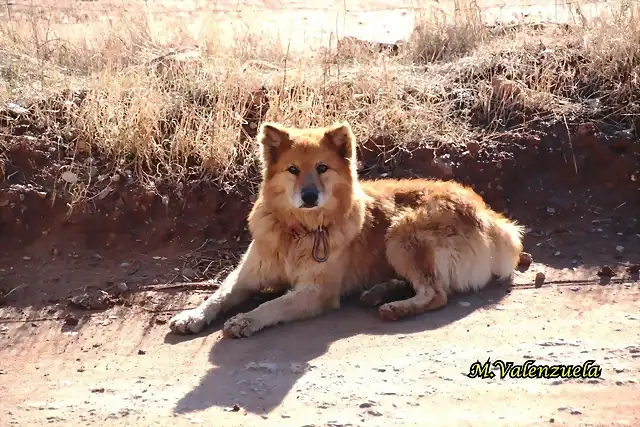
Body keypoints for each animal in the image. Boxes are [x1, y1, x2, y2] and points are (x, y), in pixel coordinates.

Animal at [169, 122, 524, 340]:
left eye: (322, 168)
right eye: (293, 169)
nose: (309, 196)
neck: (299, 232)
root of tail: (493, 218)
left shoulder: (315, 292)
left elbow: (272, 305)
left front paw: (246, 320)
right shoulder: (245, 277)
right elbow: (217, 296)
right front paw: (192, 316)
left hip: (402, 233)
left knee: (436, 293)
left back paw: (395, 307)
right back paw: (379, 291)